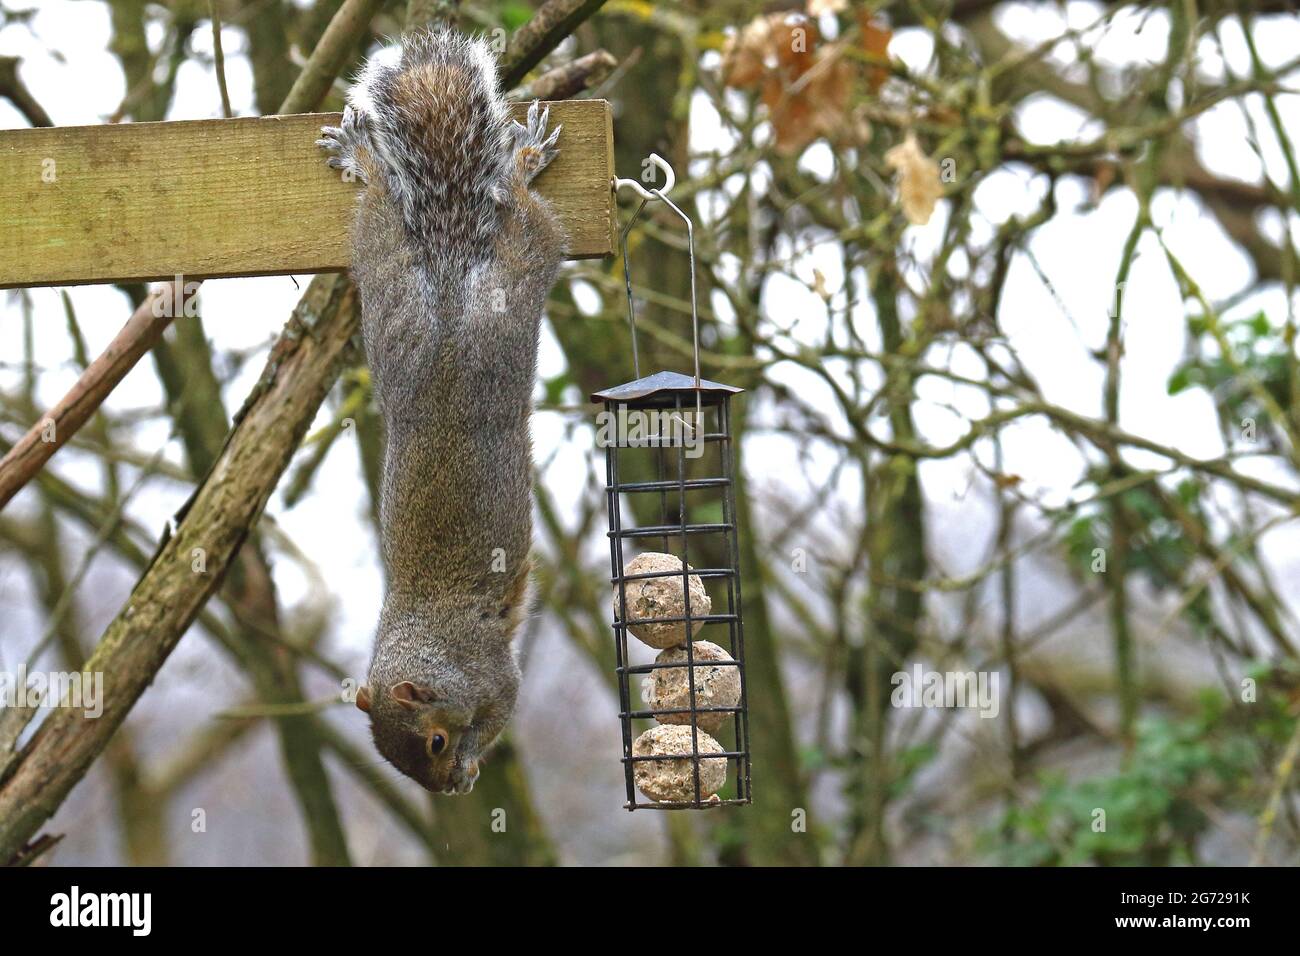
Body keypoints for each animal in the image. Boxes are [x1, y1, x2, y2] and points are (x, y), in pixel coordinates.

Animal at [317, 29, 565, 794]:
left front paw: (478, 758)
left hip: (514, 281)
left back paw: (522, 162)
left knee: (524, 216)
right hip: (387, 271)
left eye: (432, 742)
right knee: (381, 206)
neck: (430, 645)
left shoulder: (491, 673)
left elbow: (501, 708)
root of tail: (453, 286)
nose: (448, 786)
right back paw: (364, 158)